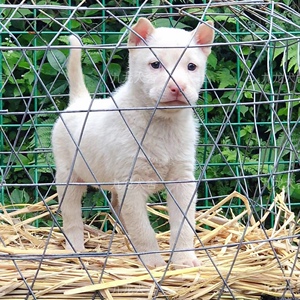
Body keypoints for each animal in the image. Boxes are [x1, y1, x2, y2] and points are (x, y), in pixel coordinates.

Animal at [52, 18, 214, 268]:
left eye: (191, 67)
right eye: (155, 65)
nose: (177, 87)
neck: (162, 124)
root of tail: (79, 102)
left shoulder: (182, 181)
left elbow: (183, 225)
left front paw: (185, 260)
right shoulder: (133, 184)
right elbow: (143, 229)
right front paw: (154, 263)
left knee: (118, 209)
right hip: (68, 177)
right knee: (71, 218)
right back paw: (75, 250)